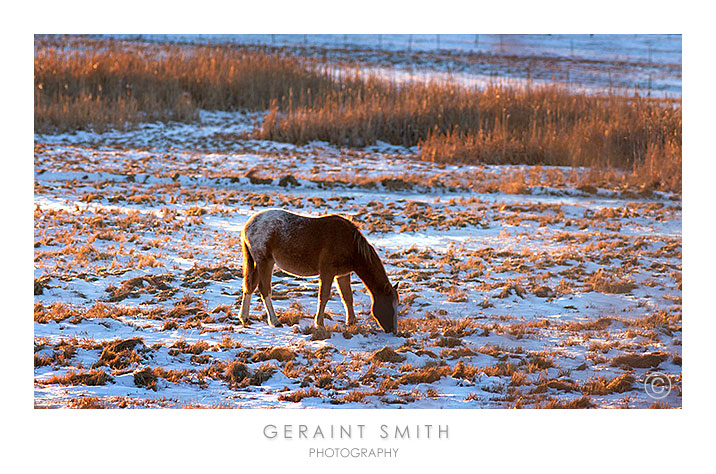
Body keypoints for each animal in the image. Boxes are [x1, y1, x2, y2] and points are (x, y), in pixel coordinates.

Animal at [238, 207, 400, 334]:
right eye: (390, 304)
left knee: (250, 286)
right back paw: (274, 321)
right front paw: (319, 323)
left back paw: (244, 317)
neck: (349, 243)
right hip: (265, 262)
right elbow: (324, 296)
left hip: (258, 263)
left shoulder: (342, 275)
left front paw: (351, 322)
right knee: (264, 289)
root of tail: (248, 225)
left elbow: (347, 297)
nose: (393, 330)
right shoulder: (327, 272)